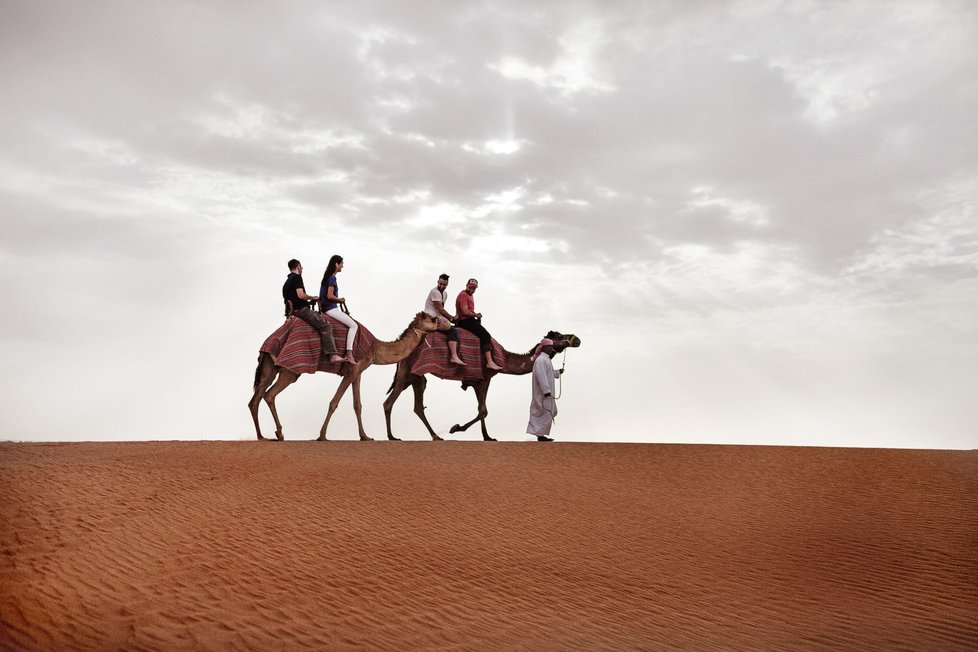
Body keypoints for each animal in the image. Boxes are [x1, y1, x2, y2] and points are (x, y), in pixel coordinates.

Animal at [250, 312, 436, 444]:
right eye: (433, 319)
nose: (441, 322)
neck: (375, 348)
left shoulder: (358, 372)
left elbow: (357, 404)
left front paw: (365, 436)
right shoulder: (351, 371)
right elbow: (334, 402)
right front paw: (322, 436)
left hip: (269, 366)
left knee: (255, 398)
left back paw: (262, 437)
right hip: (291, 370)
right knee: (269, 395)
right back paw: (280, 433)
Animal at [382, 328, 580, 440]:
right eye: (560, 335)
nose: (576, 339)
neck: (504, 358)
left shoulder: (476, 382)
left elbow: (481, 409)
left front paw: (484, 435)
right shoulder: (486, 378)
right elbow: (483, 410)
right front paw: (460, 429)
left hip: (414, 377)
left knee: (416, 405)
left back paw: (432, 436)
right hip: (408, 371)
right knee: (390, 402)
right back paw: (394, 437)